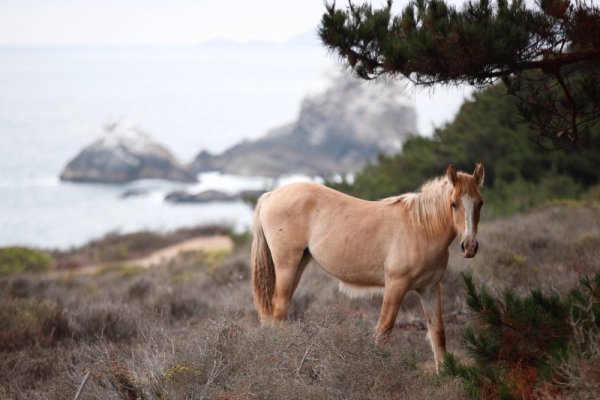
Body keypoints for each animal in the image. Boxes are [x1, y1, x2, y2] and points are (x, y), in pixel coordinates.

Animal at [251, 162, 486, 372]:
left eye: (480, 203)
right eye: (454, 203)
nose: (469, 246)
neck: (420, 229)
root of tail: (271, 195)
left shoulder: (429, 288)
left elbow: (438, 332)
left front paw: (446, 376)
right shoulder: (396, 285)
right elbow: (384, 330)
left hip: (299, 264)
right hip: (286, 265)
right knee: (278, 310)